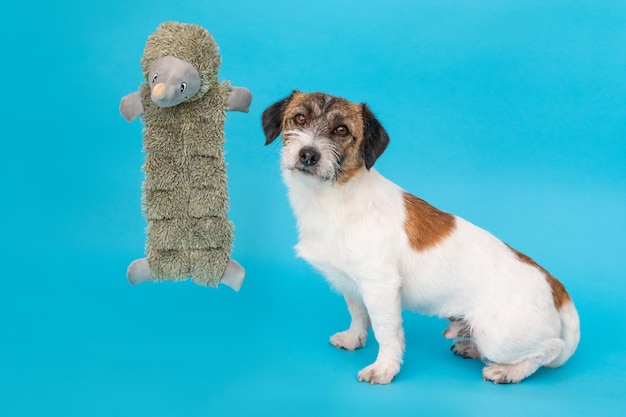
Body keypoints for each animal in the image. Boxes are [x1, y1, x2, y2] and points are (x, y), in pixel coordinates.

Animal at [260, 91, 576, 384]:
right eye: (300, 118)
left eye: (341, 130)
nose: (308, 154)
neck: (333, 198)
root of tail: (554, 285)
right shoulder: (351, 284)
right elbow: (358, 315)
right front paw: (353, 339)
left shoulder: (381, 287)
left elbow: (387, 332)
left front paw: (384, 368)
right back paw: (471, 348)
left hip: (497, 336)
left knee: (550, 350)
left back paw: (509, 371)